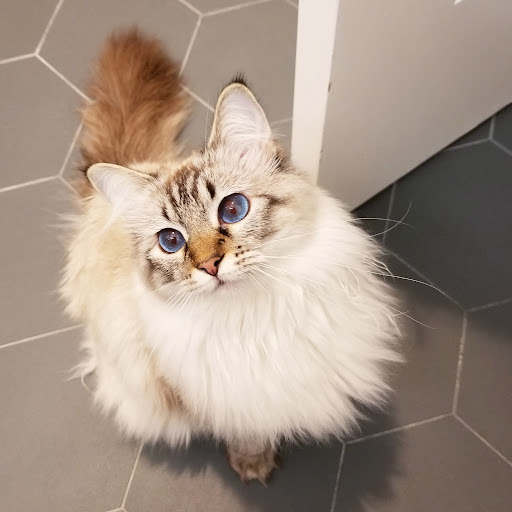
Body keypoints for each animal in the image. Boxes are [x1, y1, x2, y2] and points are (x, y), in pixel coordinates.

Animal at [61, 29, 401, 483]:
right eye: (171, 241)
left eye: (233, 209)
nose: (209, 266)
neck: (258, 316)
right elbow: (244, 427)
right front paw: (253, 463)